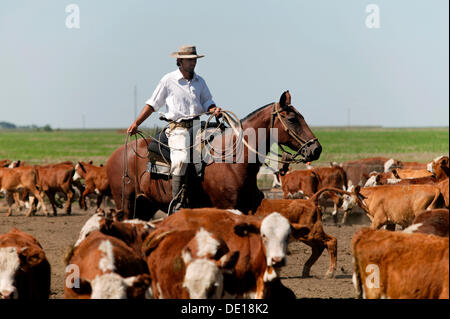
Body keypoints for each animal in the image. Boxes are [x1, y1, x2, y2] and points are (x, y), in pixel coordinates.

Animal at [107, 90, 322, 220]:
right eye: (292, 119)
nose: (316, 149)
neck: (234, 159)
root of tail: (117, 154)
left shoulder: (248, 208)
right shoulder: (225, 207)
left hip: (145, 206)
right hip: (126, 204)